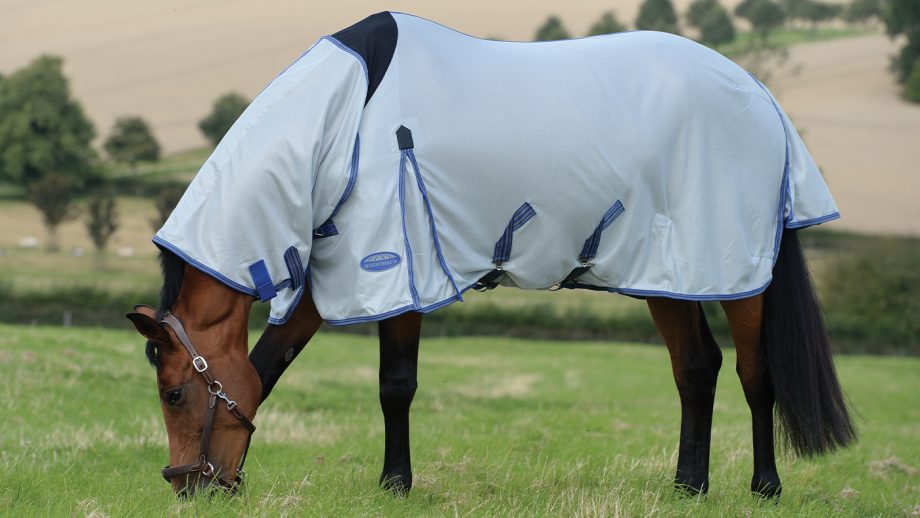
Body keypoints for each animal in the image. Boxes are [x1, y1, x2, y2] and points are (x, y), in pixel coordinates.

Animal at [126, 12, 856, 497]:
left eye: (173, 392)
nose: (188, 485)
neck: (341, 120)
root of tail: (760, 99)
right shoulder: (337, 270)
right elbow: (267, 364)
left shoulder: (396, 267)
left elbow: (395, 384)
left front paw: (395, 483)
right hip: (668, 274)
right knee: (696, 368)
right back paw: (687, 486)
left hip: (739, 273)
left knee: (755, 374)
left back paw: (765, 485)